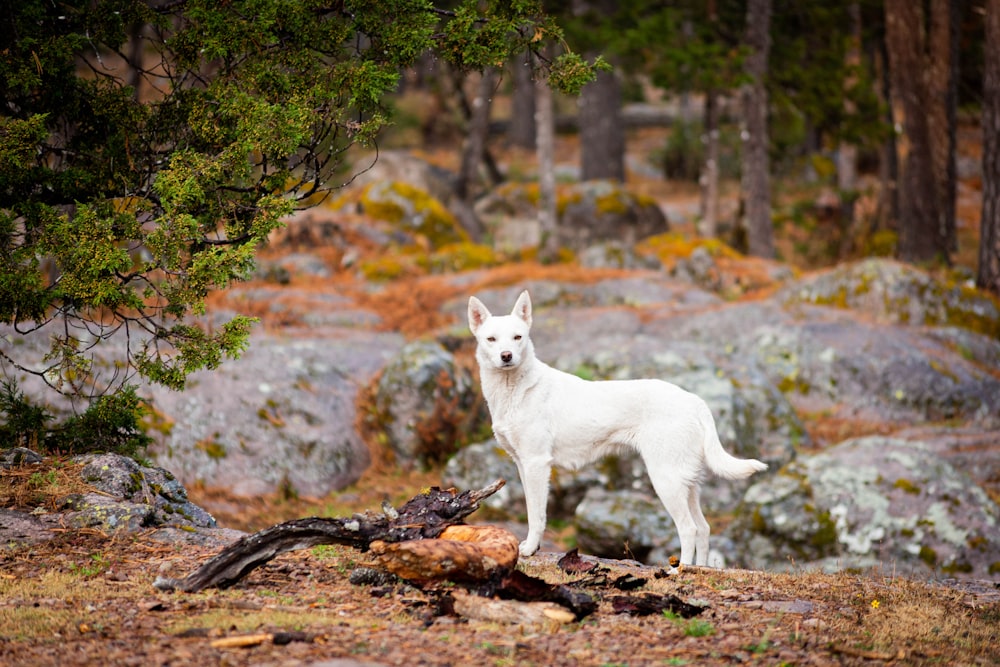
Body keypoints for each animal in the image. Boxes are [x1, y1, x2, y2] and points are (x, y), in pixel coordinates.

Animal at [466, 290, 764, 568]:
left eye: (518, 337)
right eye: (491, 339)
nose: (506, 356)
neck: (516, 389)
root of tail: (695, 401)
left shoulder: (537, 464)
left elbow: (536, 515)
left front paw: (529, 549)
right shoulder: (523, 464)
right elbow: (531, 511)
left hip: (665, 480)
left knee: (688, 529)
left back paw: (679, 571)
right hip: (687, 483)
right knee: (703, 528)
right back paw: (699, 569)